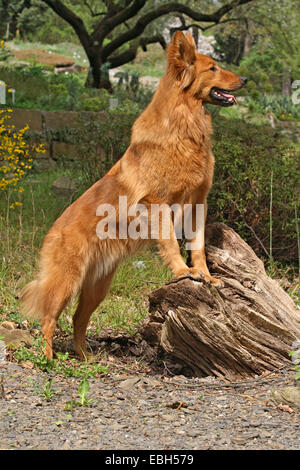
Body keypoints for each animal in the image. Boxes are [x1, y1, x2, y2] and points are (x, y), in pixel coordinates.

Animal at [20, 32, 246, 360]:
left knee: (77, 318)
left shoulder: (197, 205)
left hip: (97, 288)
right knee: (49, 318)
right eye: (213, 68)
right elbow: (170, 242)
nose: (245, 79)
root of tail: (53, 230)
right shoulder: (158, 204)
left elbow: (198, 246)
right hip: (66, 282)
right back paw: (48, 360)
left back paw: (84, 358)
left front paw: (204, 275)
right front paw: (183, 272)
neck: (184, 123)